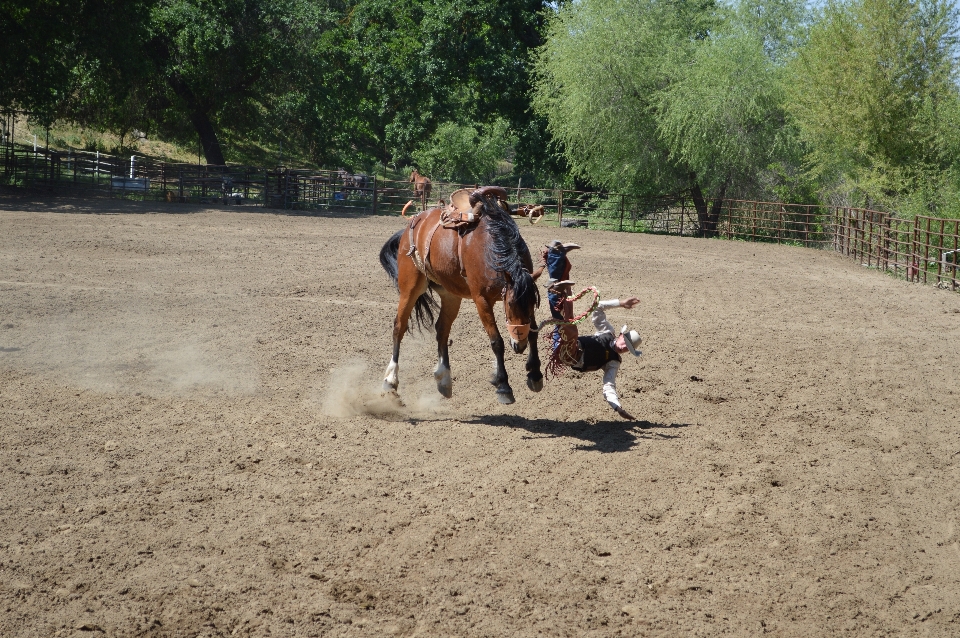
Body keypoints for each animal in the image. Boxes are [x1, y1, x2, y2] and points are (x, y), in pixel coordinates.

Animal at [382, 186, 548, 404]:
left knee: (442, 329)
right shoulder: (481, 300)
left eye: (533, 304)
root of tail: (413, 223)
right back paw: (390, 379)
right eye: (510, 305)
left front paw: (535, 374)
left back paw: (444, 378)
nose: (519, 345)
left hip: (450, 295)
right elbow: (497, 341)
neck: (491, 245)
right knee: (399, 327)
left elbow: (534, 332)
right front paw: (503, 386)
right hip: (410, 287)